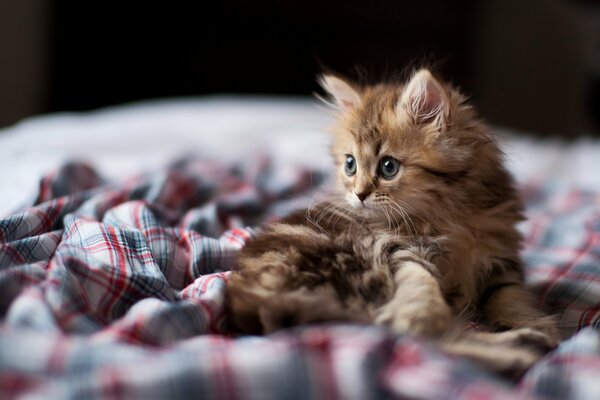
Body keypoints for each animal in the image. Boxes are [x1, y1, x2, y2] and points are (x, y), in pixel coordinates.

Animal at [226, 68, 564, 376]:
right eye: (350, 165)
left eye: (388, 167)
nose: (359, 194)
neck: (448, 215)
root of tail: (251, 301)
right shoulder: (397, 246)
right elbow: (421, 288)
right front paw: (422, 313)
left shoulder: (500, 257)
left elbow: (510, 295)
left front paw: (536, 324)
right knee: (420, 341)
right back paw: (518, 352)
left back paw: (527, 342)